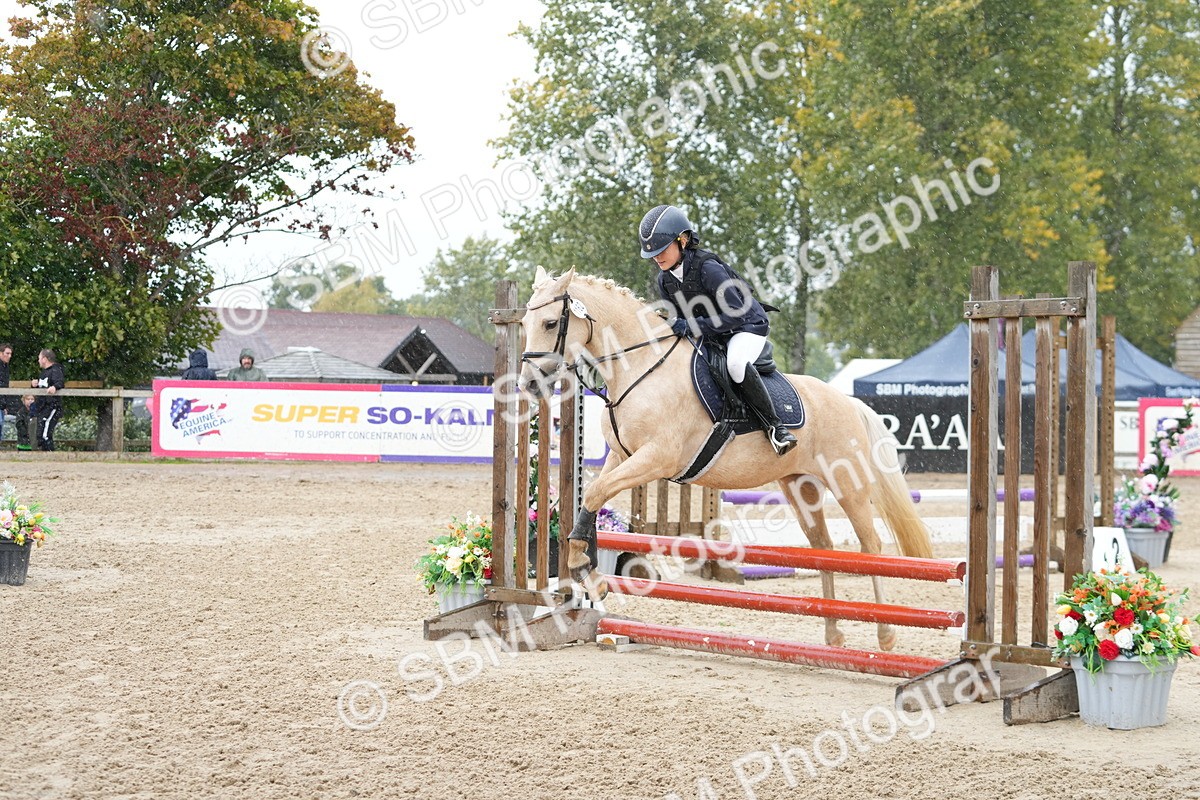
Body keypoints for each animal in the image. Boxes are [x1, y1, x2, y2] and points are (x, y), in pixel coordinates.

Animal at [518, 267, 933, 651]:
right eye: (523, 323)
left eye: (551, 323)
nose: (528, 384)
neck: (638, 367)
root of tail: (849, 402)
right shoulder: (622, 457)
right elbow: (593, 498)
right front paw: (588, 574)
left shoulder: (657, 458)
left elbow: (594, 494)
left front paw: (584, 570)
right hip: (800, 486)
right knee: (823, 549)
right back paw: (833, 633)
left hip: (848, 483)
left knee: (871, 547)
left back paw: (886, 635)